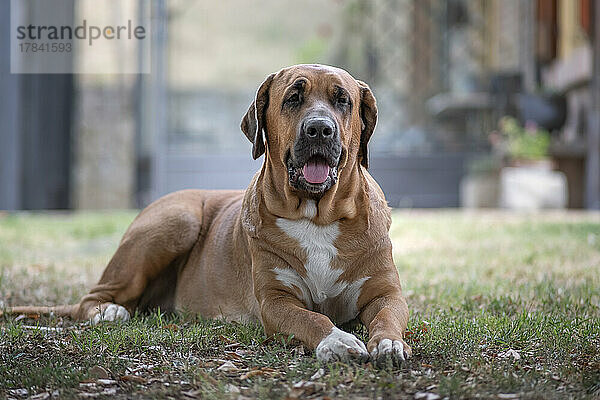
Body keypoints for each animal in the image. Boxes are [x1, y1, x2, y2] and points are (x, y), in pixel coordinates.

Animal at [7, 64, 412, 364]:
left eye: (342, 100)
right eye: (293, 98)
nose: (319, 129)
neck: (318, 217)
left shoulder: (386, 292)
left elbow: (388, 315)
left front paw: (389, 344)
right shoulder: (276, 301)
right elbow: (310, 317)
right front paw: (336, 340)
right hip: (176, 221)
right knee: (89, 299)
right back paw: (110, 311)